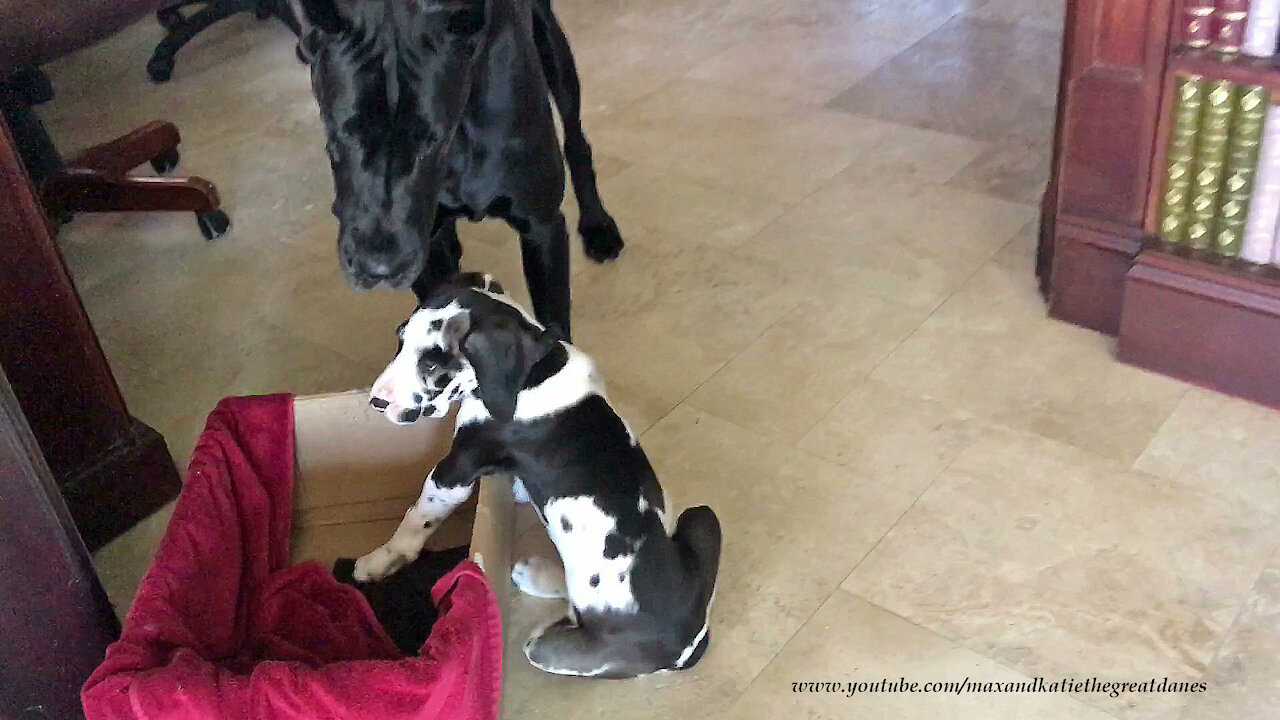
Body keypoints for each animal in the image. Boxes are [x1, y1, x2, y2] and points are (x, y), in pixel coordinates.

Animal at [355, 271, 727, 676]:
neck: (534, 372)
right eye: (400, 340)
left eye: (434, 366)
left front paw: (379, 560)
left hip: (547, 647)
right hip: (703, 516)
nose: (376, 401)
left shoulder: (456, 470)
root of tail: (688, 645)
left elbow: (416, 519)